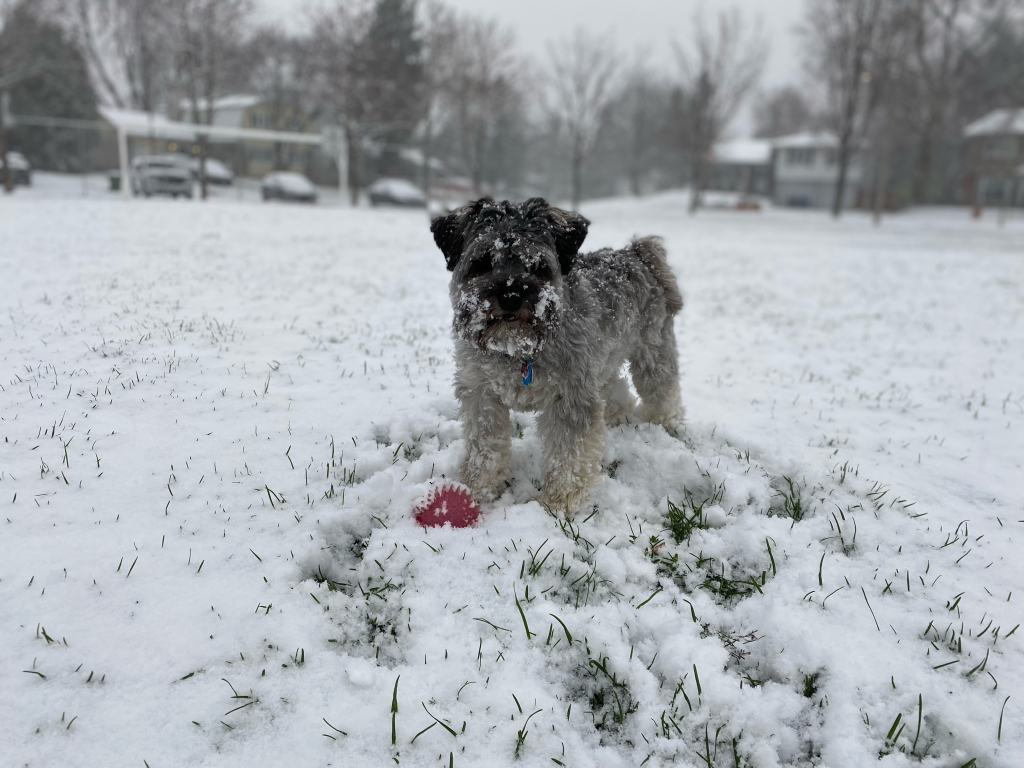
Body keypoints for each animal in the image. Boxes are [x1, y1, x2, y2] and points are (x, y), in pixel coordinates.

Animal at [428, 195, 684, 514]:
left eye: (538, 266)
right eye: (482, 262)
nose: (511, 297)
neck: (517, 350)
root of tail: (636, 253)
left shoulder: (571, 395)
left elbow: (568, 457)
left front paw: (555, 504)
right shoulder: (480, 393)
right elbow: (484, 447)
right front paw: (477, 489)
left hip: (652, 352)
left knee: (664, 392)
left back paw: (668, 428)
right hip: (602, 360)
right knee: (616, 390)